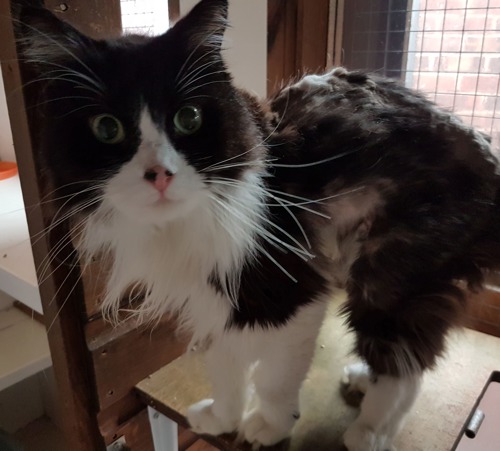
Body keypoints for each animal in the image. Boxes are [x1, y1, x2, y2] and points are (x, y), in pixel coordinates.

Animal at [14, 0, 500, 450]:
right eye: (107, 128)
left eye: (189, 118)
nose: (160, 174)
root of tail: (484, 153)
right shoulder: (212, 298)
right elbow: (225, 371)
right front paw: (223, 419)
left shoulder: (296, 291)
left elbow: (273, 380)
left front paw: (269, 425)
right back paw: (364, 381)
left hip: (389, 275)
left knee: (405, 367)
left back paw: (370, 432)